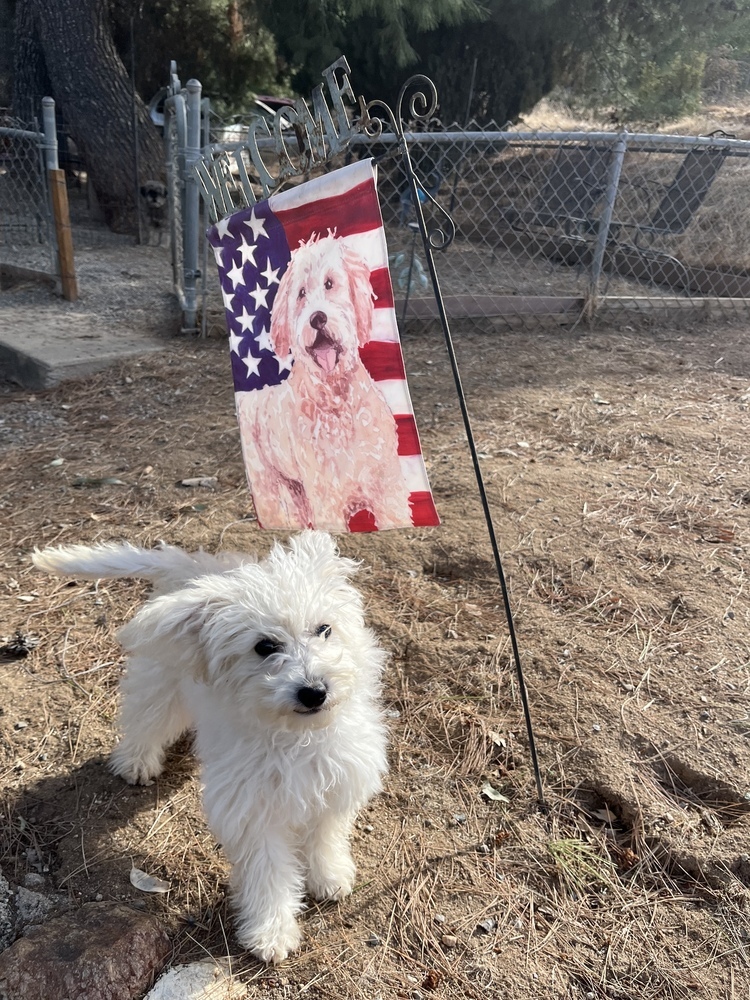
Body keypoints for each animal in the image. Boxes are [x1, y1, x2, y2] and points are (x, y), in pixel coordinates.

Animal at [31, 536, 388, 964]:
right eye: (264, 646)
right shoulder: (251, 811)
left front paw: (328, 875)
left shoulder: (336, 783)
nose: (315, 691)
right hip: (161, 684)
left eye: (324, 629)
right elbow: (268, 871)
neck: (295, 735)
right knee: (145, 720)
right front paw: (271, 930)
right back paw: (136, 761)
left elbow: (324, 835)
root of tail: (191, 566)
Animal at [238, 233, 414, 532]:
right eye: (301, 294)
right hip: (271, 489)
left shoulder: (387, 488)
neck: (337, 400)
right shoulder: (327, 498)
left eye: (329, 283)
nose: (317, 317)